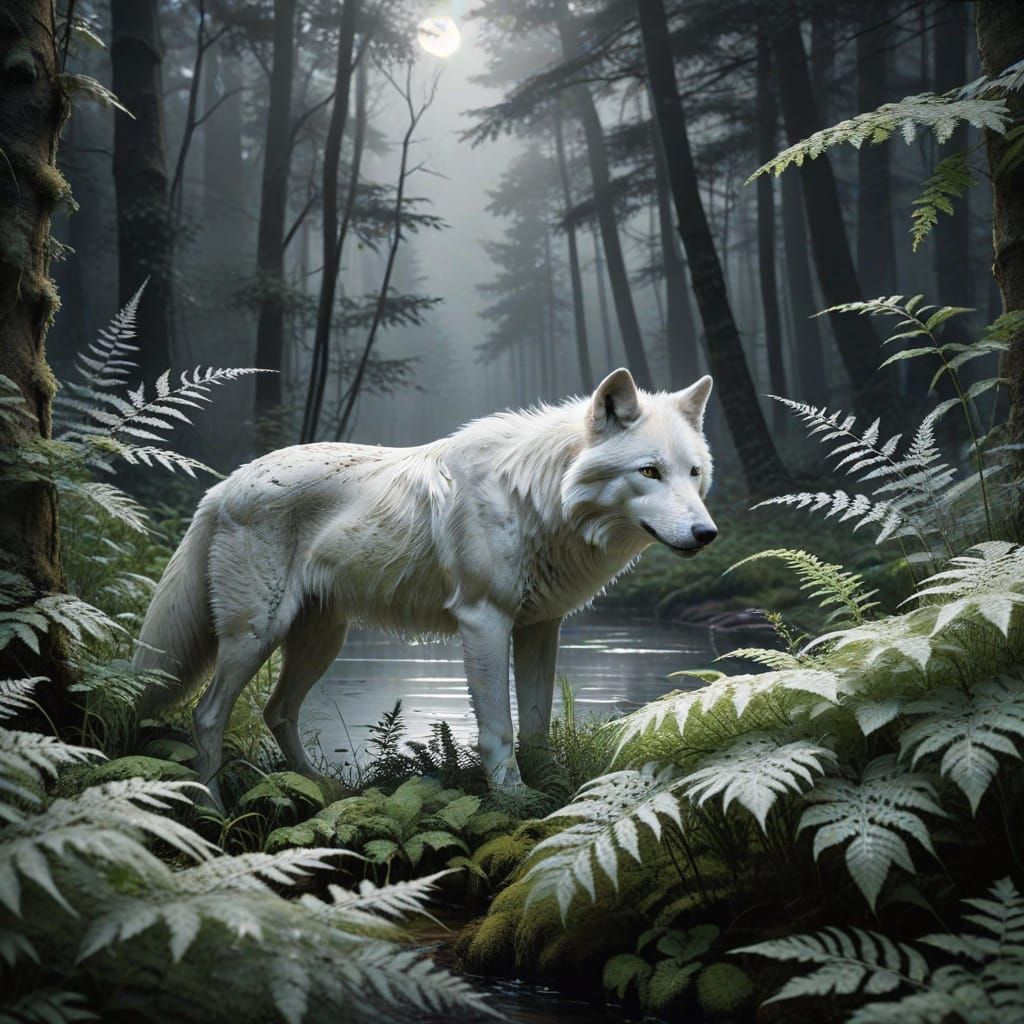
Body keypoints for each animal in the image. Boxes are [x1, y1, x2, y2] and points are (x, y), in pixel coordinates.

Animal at [133, 368, 717, 804]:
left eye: (693, 473)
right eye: (649, 471)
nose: (706, 534)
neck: (536, 497)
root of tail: (222, 486)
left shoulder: (540, 627)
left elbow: (536, 726)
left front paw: (552, 794)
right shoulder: (483, 621)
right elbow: (499, 731)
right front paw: (514, 802)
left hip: (321, 640)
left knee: (278, 711)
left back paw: (324, 789)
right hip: (256, 633)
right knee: (207, 717)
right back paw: (213, 808)